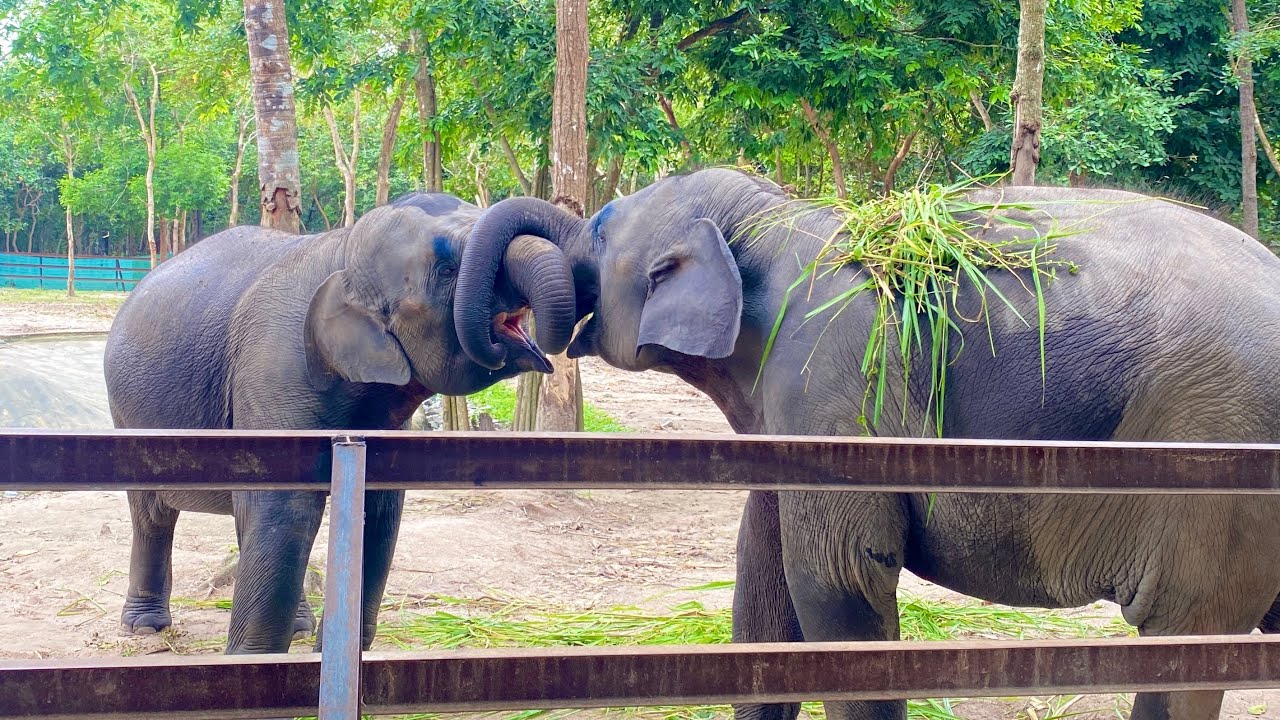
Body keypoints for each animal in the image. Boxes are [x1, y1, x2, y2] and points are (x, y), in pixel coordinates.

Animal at [104, 192, 574, 654]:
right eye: (446, 271)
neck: (344, 249)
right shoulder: (271, 369)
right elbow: (284, 505)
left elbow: (379, 510)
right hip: (126, 414)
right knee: (153, 513)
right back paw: (145, 629)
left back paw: (297, 629)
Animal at [453, 169, 1280, 720]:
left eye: (599, 228)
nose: (512, 336)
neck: (769, 217)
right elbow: (764, 583)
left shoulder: (829, 375)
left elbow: (838, 582)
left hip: (1216, 457)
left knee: (1182, 645)